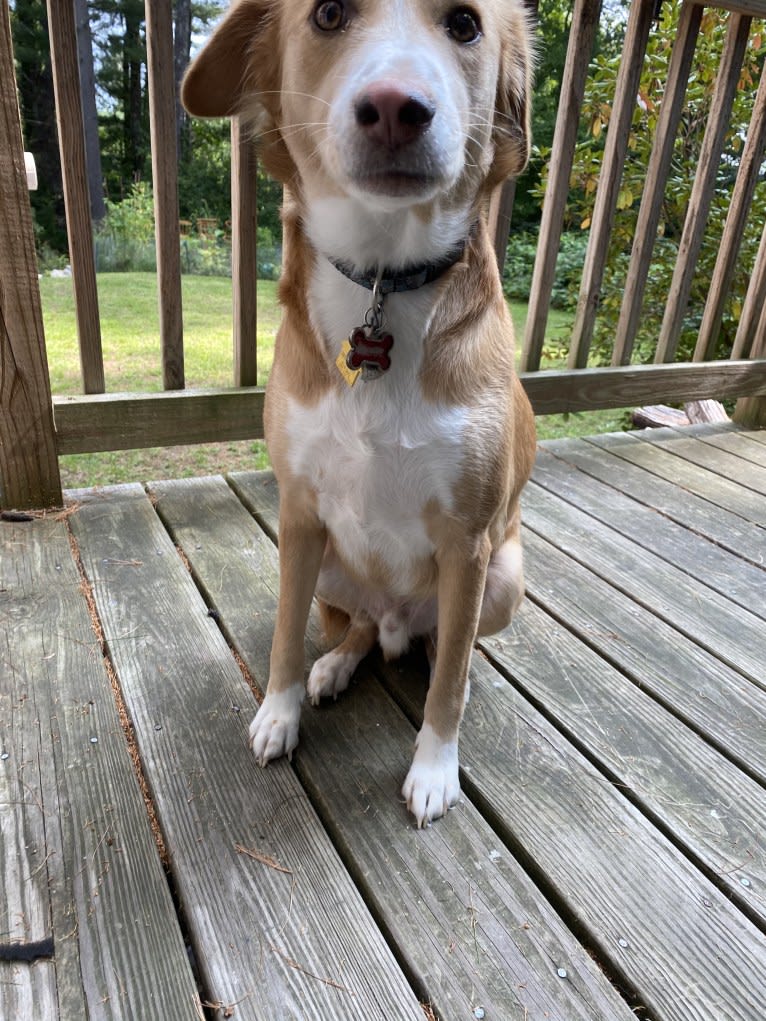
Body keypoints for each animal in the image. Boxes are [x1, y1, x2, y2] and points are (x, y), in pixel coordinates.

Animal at [182, 0, 535, 824]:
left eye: (465, 25)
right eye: (329, 14)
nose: (397, 107)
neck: (382, 276)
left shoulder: (469, 544)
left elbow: (451, 684)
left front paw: (436, 764)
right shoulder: (299, 514)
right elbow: (284, 635)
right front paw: (279, 712)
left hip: (505, 577)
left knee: (441, 650)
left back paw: (429, 656)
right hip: (336, 572)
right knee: (364, 628)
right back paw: (337, 666)